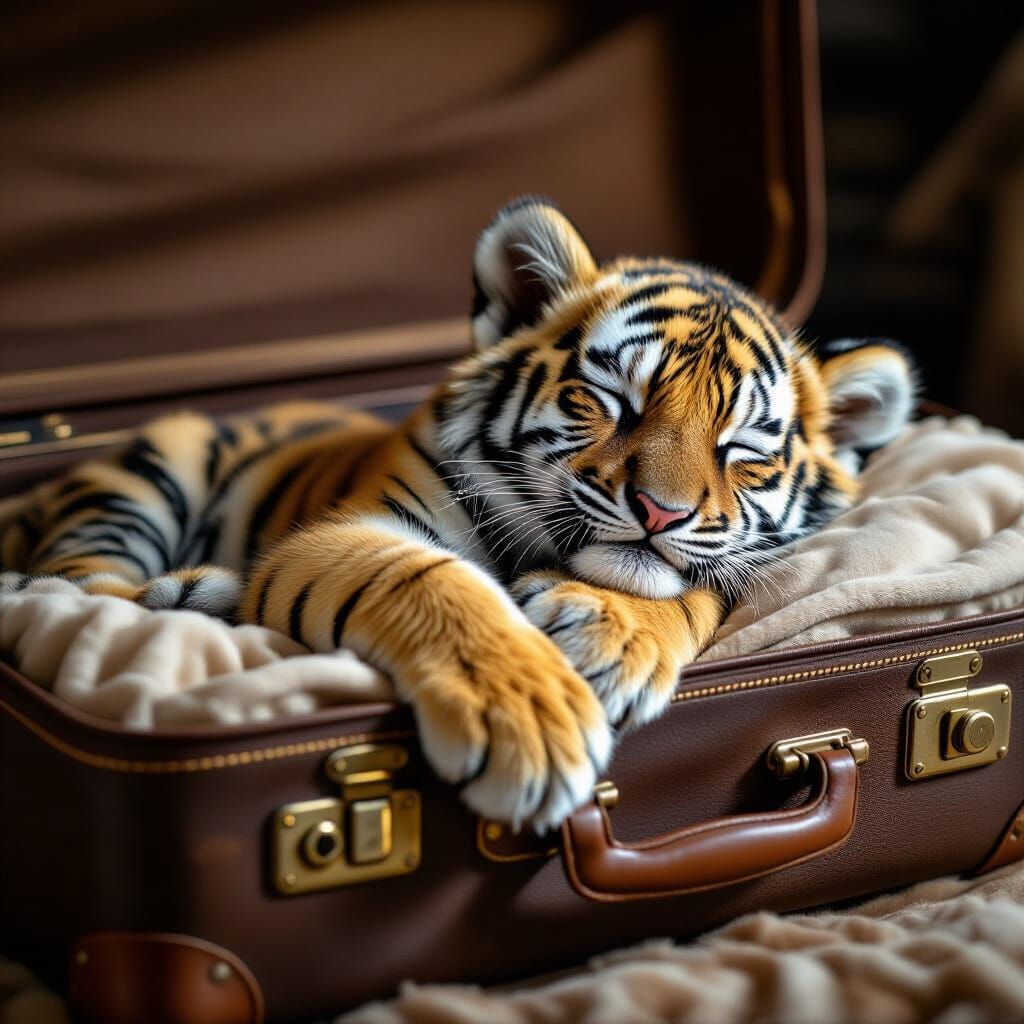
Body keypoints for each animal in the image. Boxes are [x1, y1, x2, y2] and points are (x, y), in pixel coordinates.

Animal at [0, 198, 916, 831]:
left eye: (740, 449)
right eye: (610, 401)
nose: (659, 510)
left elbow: (692, 586)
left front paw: (613, 637)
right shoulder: (348, 530)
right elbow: (430, 582)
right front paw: (529, 724)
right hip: (150, 470)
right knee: (70, 585)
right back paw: (197, 594)